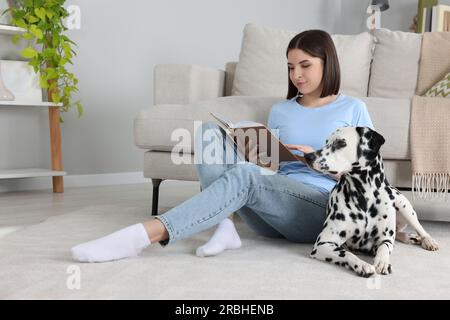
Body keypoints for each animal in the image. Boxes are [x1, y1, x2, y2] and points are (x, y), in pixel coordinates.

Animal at [304, 126, 438, 276]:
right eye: (326, 142)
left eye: (340, 143)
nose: (308, 156)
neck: (365, 197)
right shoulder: (323, 244)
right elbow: (346, 253)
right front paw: (362, 265)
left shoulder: (385, 239)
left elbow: (384, 248)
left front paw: (383, 262)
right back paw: (411, 237)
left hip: (405, 207)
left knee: (419, 229)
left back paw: (427, 240)